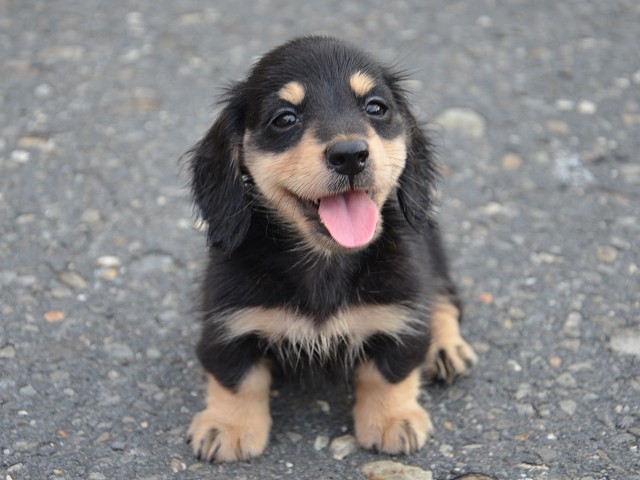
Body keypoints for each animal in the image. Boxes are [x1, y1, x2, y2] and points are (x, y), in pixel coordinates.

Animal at [185, 36, 477, 462]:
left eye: (376, 107)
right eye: (284, 118)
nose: (350, 155)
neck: (326, 262)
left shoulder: (401, 310)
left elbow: (390, 370)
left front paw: (393, 419)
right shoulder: (227, 322)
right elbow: (236, 377)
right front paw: (228, 427)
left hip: (432, 250)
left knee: (443, 298)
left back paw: (446, 347)